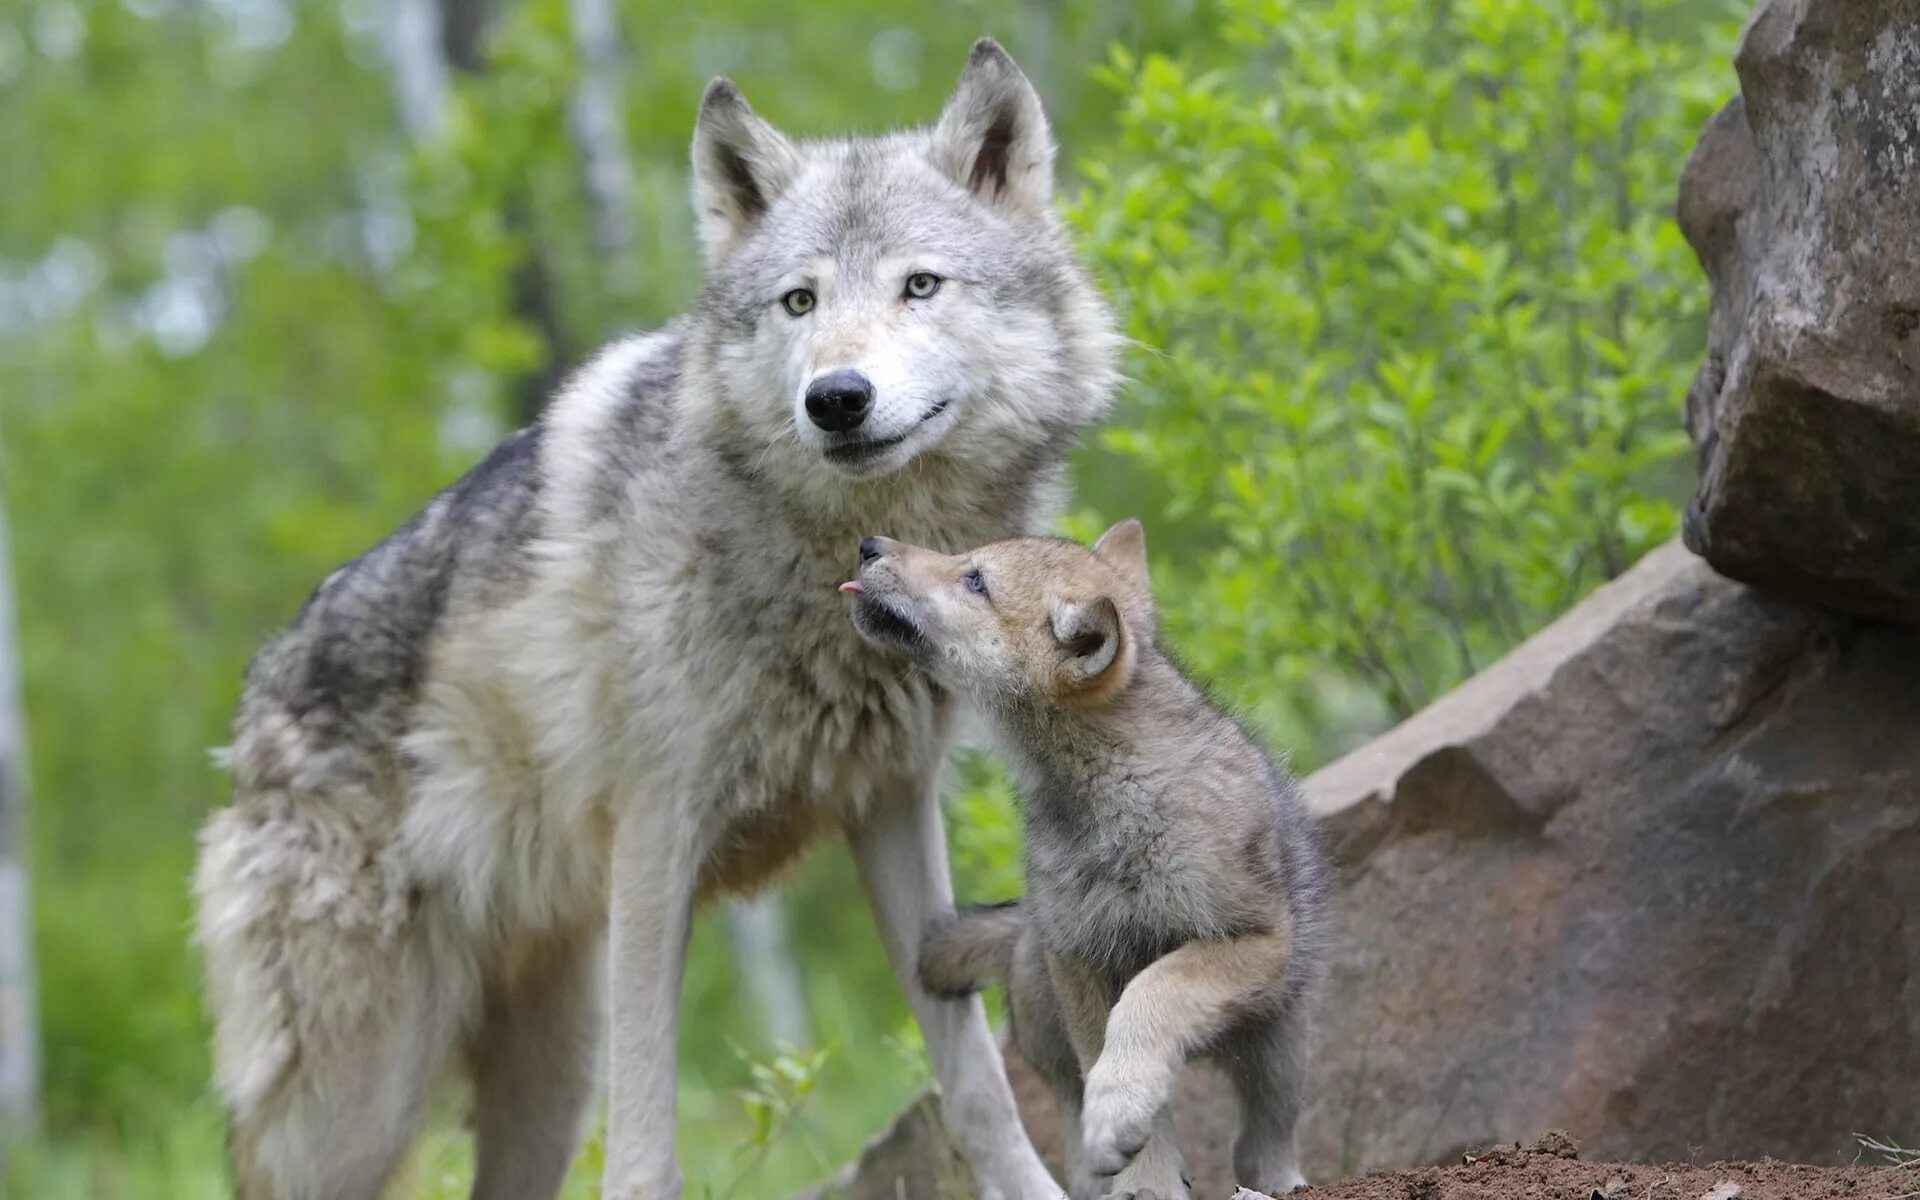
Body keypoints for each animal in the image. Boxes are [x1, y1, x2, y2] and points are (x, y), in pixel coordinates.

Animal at [192, 42, 1121, 1198]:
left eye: (920, 285)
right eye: (799, 301)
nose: (837, 398)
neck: (828, 566)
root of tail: (254, 706)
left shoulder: (893, 808)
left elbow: (976, 1087)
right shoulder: (655, 841)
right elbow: (645, 1146)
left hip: (545, 1073)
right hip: (358, 1100)